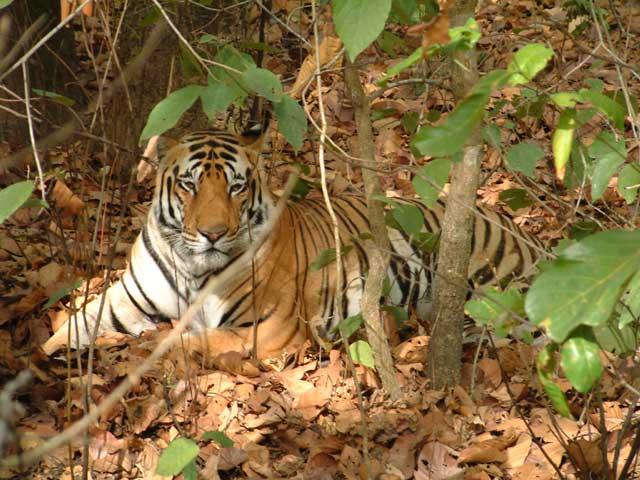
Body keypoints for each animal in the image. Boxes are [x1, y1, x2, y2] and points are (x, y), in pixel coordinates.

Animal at [42, 130, 544, 359]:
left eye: (236, 188)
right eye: (189, 185)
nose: (212, 233)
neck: (191, 267)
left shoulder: (268, 327)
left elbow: (182, 341)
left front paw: (139, 355)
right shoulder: (125, 298)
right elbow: (72, 324)